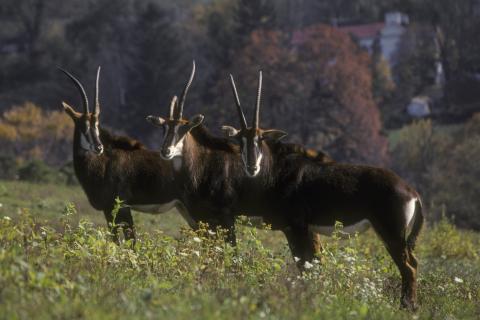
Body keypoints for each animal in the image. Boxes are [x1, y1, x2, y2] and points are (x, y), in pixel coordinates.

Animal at [60, 66, 193, 244]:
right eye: (83, 125)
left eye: (96, 124)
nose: (98, 147)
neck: (103, 163)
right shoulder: (108, 210)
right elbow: (116, 240)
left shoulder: (122, 207)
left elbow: (130, 240)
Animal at [221, 72, 424, 310]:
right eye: (239, 141)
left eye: (260, 139)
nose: (252, 166)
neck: (278, 171)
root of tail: (412, 192)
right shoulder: (309, 230)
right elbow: (313, 265)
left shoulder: (296, 227)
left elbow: (304, 265)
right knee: (412, 263)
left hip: (391, 234)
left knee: (409, 267)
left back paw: (407, 307)